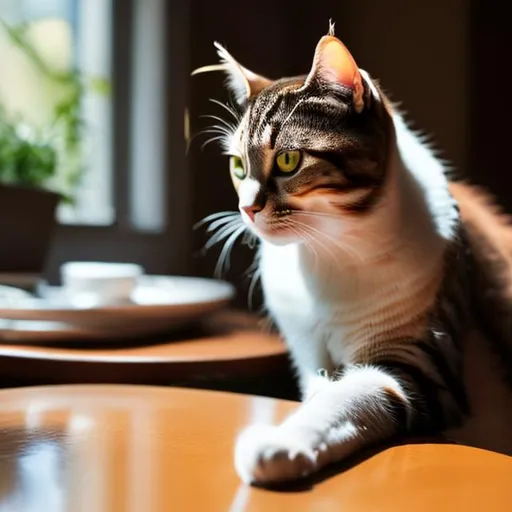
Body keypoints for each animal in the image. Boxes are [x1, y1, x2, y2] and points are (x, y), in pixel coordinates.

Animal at [194, 21, 512, 484]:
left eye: (288, 160)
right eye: (238, 166)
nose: (246, 208)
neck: (323, 255)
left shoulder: (420, 365)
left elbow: (346, 396)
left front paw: (280, 443)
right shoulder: (308, 356)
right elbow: (321, 389)